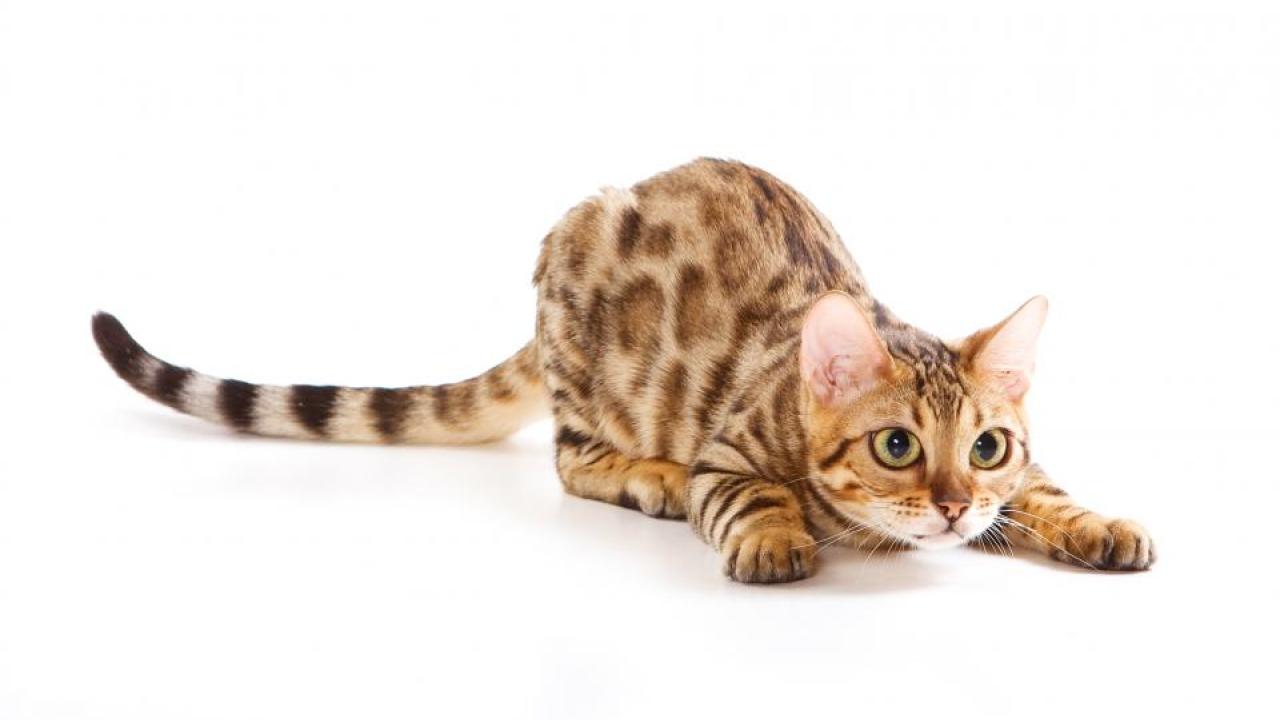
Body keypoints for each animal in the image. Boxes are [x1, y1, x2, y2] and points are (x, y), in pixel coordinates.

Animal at [92, 157, 1155, 583]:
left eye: (987, 447)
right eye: (896, 447)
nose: (952, 507)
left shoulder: (1018, 478)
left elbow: (1047, 494)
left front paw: (1096, 523)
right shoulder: (732, 454)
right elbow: (753, 497)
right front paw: (776, 535)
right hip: (583, 334)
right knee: (569, 459)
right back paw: (647, 475)